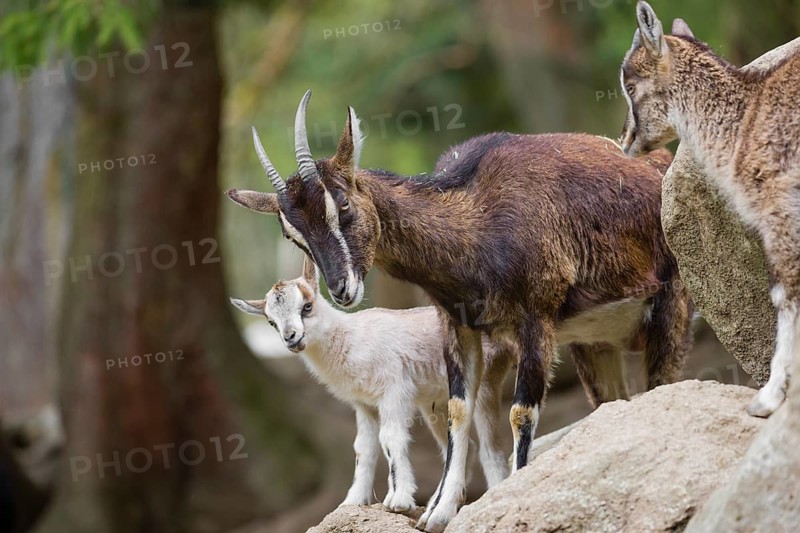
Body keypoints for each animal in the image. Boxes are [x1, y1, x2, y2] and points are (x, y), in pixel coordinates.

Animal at [230, 256, 513, 511]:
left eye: (307, 306)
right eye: (271, 321)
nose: (291, 338)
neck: (351, 338)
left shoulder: (393, 393)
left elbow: (389, 438)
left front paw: (399, 501)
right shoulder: (364, 404)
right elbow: (363, 448)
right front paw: (353, 501)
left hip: (485, 383)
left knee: (491, 449)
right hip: (434, 404)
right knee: (460, 446)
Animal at [621, 1, 800, 418]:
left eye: (631, 86)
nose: (625, 140)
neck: (743, 125)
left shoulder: (780, 211)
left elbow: (785, 294)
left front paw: (767, 399)